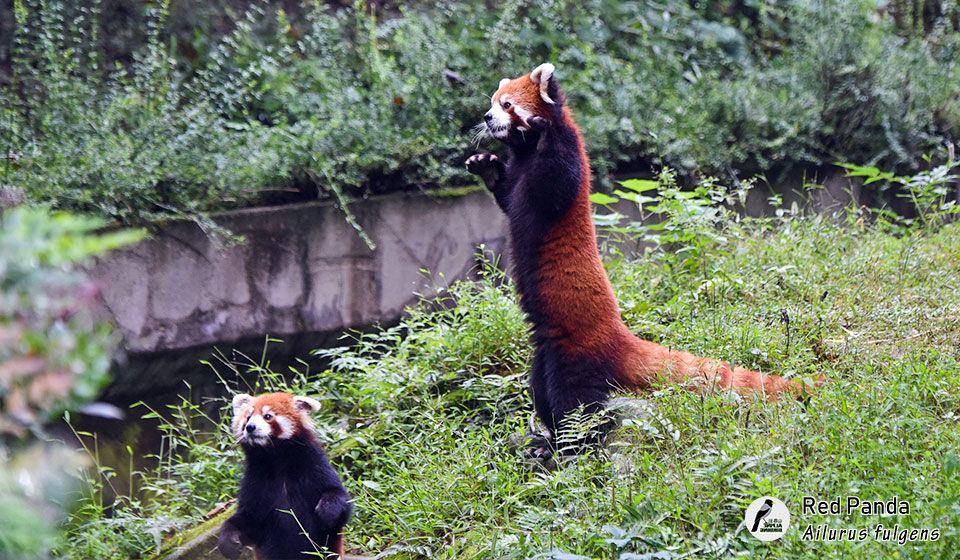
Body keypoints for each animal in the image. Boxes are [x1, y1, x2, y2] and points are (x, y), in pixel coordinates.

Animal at [218, 394, 352, 560]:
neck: (277, 460)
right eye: (248, 417)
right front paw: (228, 540)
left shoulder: (314, 465)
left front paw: (327, 512)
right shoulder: (256, 480)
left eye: (268, 416)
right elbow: (249, 519)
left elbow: (339, 497)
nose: (250, 427)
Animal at [464, 62, 808, 446]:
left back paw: (571, 446)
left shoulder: (569, 161)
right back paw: (547, 441)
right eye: (492, 102)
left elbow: (557, 177)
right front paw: (485, 165)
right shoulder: (518, 179)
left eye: (507, 105)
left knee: (575, 402)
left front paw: (542, 130)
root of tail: (620, 338)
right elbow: (508, 196)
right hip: (543, 353)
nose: (486, 117)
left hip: (575, 352)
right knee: (542, 391)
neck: (526, 154)